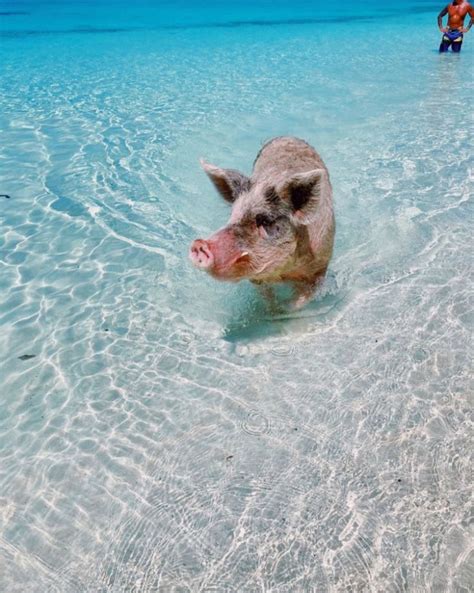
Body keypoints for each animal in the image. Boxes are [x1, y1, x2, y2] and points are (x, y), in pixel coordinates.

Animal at [189, 136, 334, 308]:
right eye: (233, 214)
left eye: (264, 220)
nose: (199, 244)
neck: (283, 272)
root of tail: (288, 137)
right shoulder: (257, 279)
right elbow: (266, 296)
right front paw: (274, 308)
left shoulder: (319, 268)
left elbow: (301, 300)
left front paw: (286, 308)